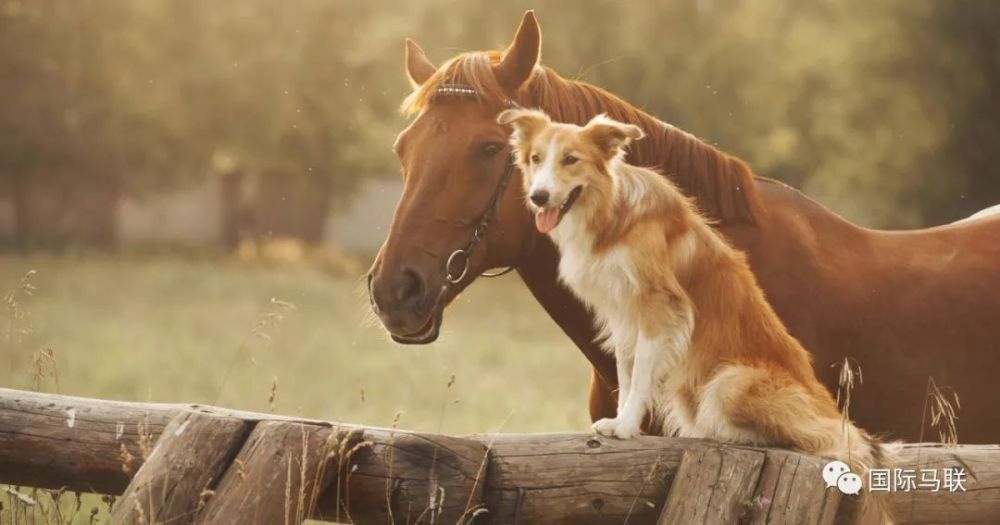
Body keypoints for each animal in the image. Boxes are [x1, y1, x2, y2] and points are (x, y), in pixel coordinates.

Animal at [496, 109, 896, 520]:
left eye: (571, 160)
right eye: (535, 159)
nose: (538, 196)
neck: (612, 214)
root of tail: (829, 408)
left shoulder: (660, 308)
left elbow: (641, 374)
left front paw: (626, 426)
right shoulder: (623, 313)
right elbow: (626, 372)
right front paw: (621, 421)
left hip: (729, 383)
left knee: (831, 439)